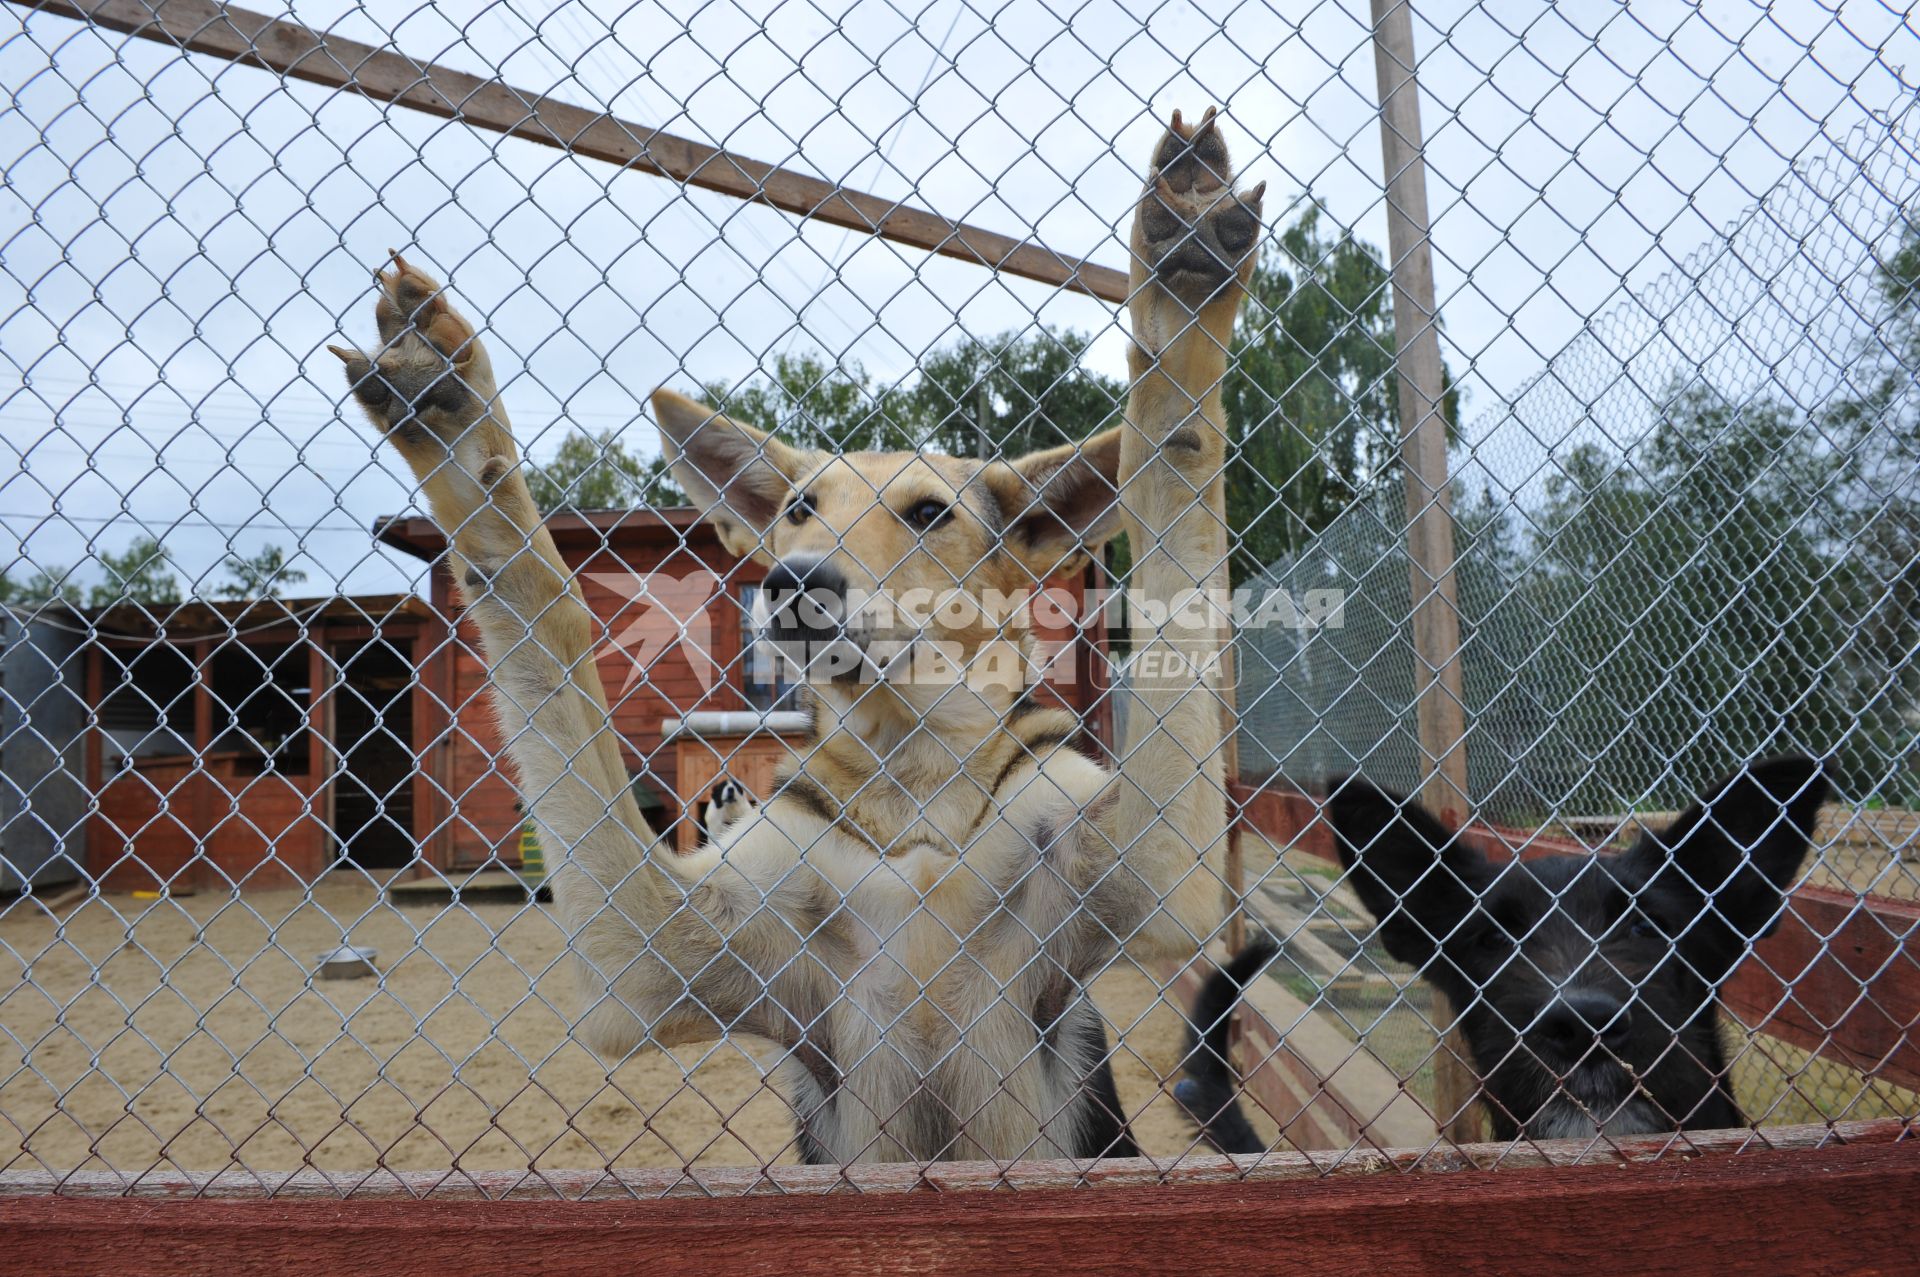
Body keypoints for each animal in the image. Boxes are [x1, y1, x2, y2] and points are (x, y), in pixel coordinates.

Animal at [334, 111, 1259, 1167]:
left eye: (929, 513)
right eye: (800, 510)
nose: (793, 582)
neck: (908, 793)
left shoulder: (1160, 874)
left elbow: (1171, 458)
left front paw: (1182, 281)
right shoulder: (645, 962)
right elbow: (540, 601)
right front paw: (454, 424)